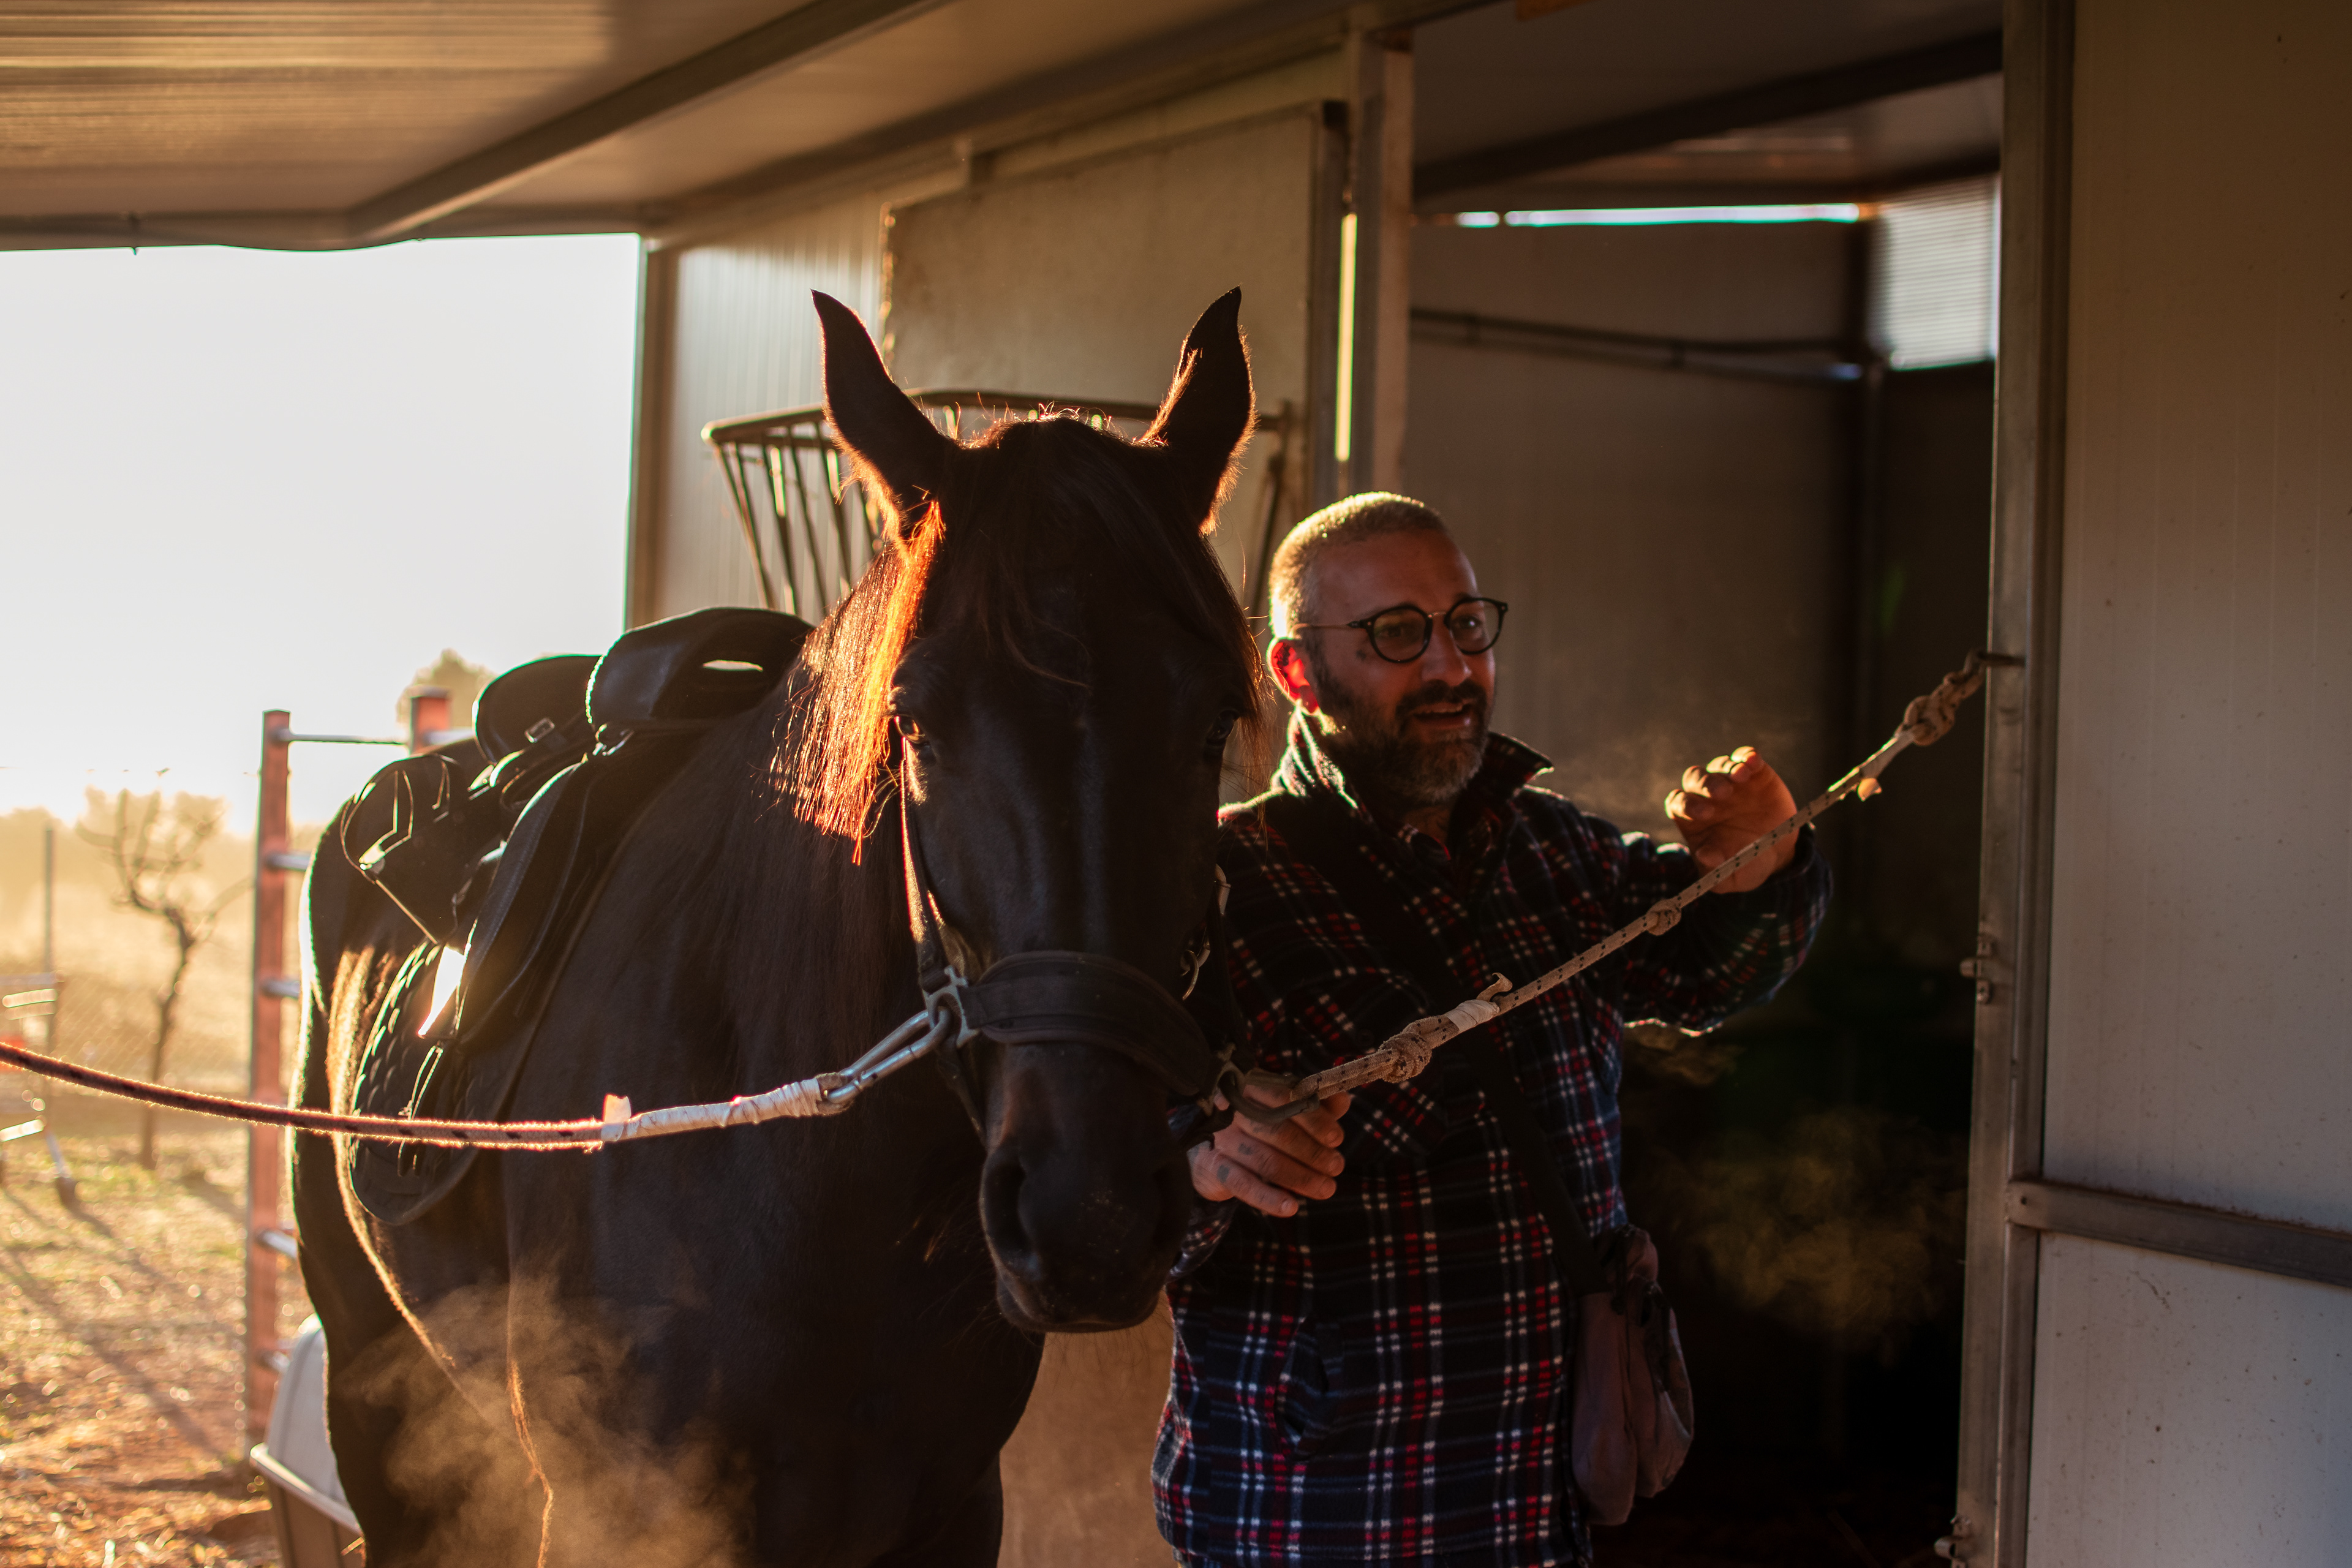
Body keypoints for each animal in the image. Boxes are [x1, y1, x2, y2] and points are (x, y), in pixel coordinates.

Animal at [290, 290, 1265, 1566]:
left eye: (1213, 725)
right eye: (917, 721)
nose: (1086, 1215)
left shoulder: (948, 1509)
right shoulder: (611, 1510)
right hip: (375, 1391)